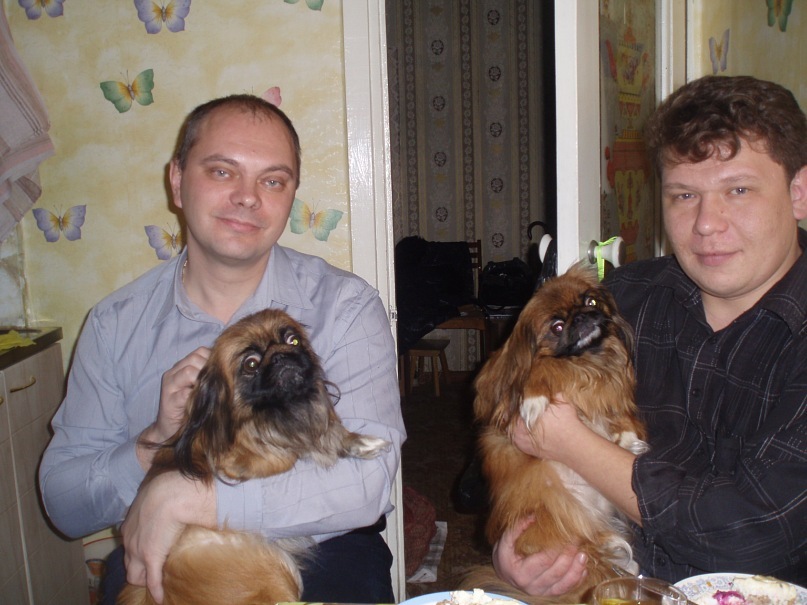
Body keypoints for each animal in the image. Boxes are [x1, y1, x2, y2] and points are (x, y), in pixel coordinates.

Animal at [117, 309, 389, 605]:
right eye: (250, 363)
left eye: (293, 340)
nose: (280, 355)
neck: (277, 411)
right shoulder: (237, 461)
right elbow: (291, 453)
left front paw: (358, 442)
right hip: (269, 566)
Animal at [461, 263, 648, 604]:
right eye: (558, 327)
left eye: (590, 302)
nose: (582, 317)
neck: (586, 365)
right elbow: (542, 368)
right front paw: (534, 398)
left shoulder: (613, 390)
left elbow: (620, 412)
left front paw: (628, 439)